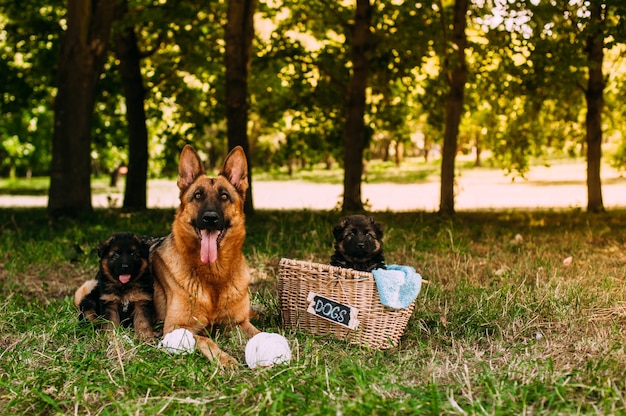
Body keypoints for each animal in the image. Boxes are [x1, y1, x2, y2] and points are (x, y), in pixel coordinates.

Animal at [150, 145, 258, 366]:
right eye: (198, 196)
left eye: (224, 196)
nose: (210, 218)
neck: (214, 275)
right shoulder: (175, 329)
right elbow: (205, 339)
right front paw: (226, 359)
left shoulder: (240, 323)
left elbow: (260, 334)